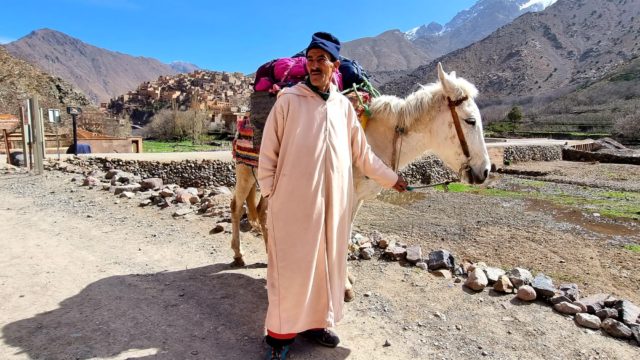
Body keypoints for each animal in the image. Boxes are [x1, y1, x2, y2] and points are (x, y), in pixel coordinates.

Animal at [229, 63, 490, 300]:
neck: (378, 138)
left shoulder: (358, 199)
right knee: (236, 207)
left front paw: (344, 278)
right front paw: (343, 286)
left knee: (263, 211)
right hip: (244, 171)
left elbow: (346, 234)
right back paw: (238, 255)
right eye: (470, 121)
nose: (485, 171)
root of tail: (243, 118)